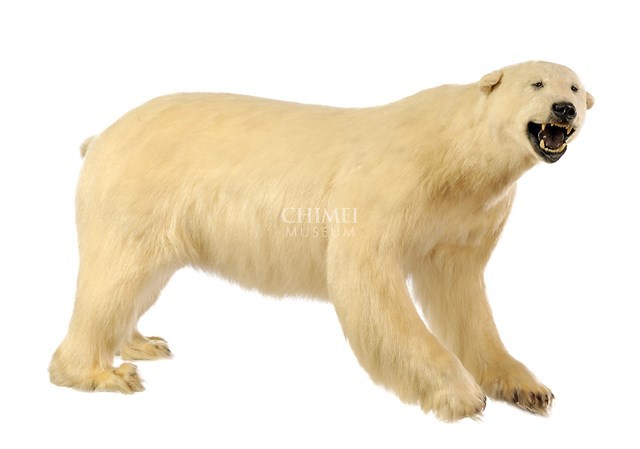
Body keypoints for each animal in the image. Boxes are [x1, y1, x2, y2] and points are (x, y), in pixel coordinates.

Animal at [50, 61, 593, 421]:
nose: (565, 108)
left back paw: (144, 343)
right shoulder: (390, 188)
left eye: (576, 85)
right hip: (135, 191)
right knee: (115, 276)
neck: (459, 157)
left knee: (140, 280)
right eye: (536, 82)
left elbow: (462, 296)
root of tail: (99, 137)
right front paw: (462, 395)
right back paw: (103, 374)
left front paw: (528, 389)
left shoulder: (469, 218)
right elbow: (371, 283)